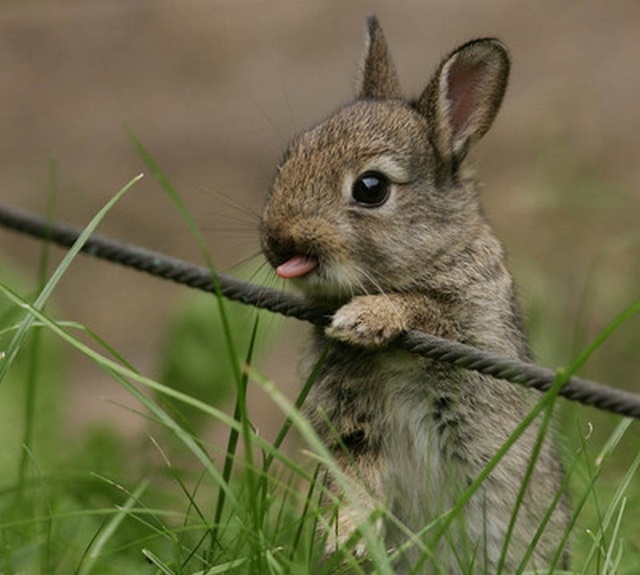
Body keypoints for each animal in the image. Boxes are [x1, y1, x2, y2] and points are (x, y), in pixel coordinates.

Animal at [260, 15, 569, 574]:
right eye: (291, 156)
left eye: (371, 187)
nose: (277, 240)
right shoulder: (352, 422)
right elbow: (356, 473)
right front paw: (345, 536)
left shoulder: (473, 327)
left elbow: (424, 308)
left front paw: (365, 318)